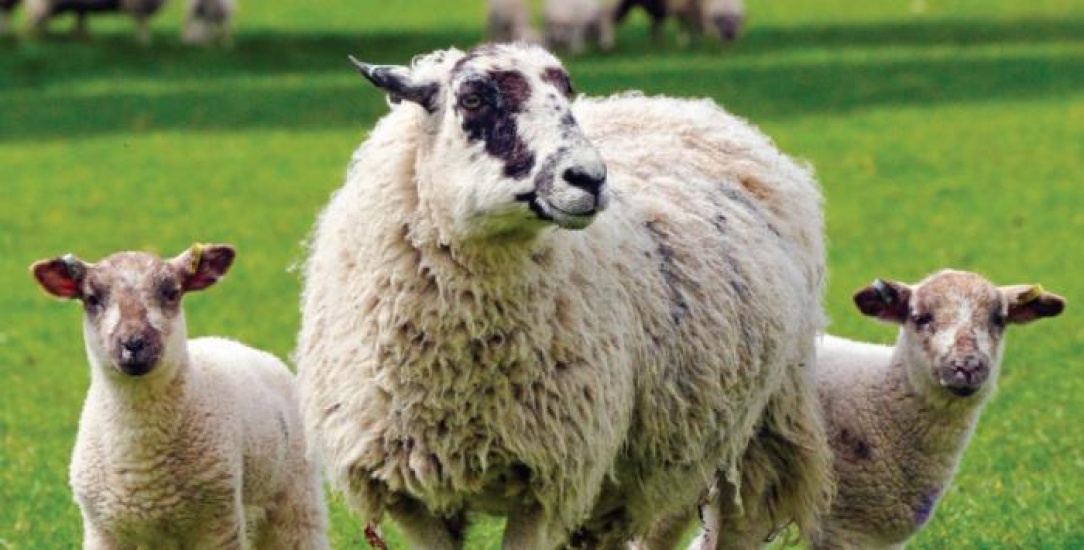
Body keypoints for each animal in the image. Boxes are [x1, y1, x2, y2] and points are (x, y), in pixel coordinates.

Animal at [25, 0, 168, 43]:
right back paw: (36, 39)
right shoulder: (140, 4)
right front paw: (144, 42)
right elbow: (143, 21)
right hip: (43, 5)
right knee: (33, 20)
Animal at [31, 244, 329, 549]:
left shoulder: (219, 525)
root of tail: (232, 342)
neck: (141, 462)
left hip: (296, 498)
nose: (133, 343)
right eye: (91, 299)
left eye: (172, 293)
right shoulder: (103, 532)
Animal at [296, 42, 832, 548]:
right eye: (473, 98)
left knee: (737, 520)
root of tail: (692, 108)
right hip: (666, 449)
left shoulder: (547, 478)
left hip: (763, 424)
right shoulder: (410, 491)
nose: (589, 178)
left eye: (567, 91)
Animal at [613, 0, 744, 45]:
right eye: (719, 20)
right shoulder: (682, 7)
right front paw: (685, 42)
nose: (729, 37)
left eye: (736, 21)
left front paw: (698, 41)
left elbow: (697, 26)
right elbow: (685, 25)